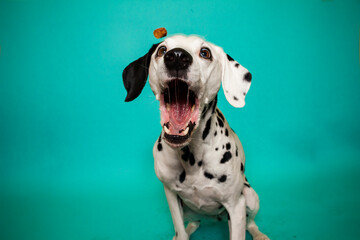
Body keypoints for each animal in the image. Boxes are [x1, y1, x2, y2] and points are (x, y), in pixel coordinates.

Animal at [122, 34, 268, 240]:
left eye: (205, 52)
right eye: (162, 50)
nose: (177, 56)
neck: (191, 156)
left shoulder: (236, 205)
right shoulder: (171, 196)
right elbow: (181, 230)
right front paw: (180, 235)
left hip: (250, 197)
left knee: (251, 223)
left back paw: (259, 234)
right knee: (193, 223)